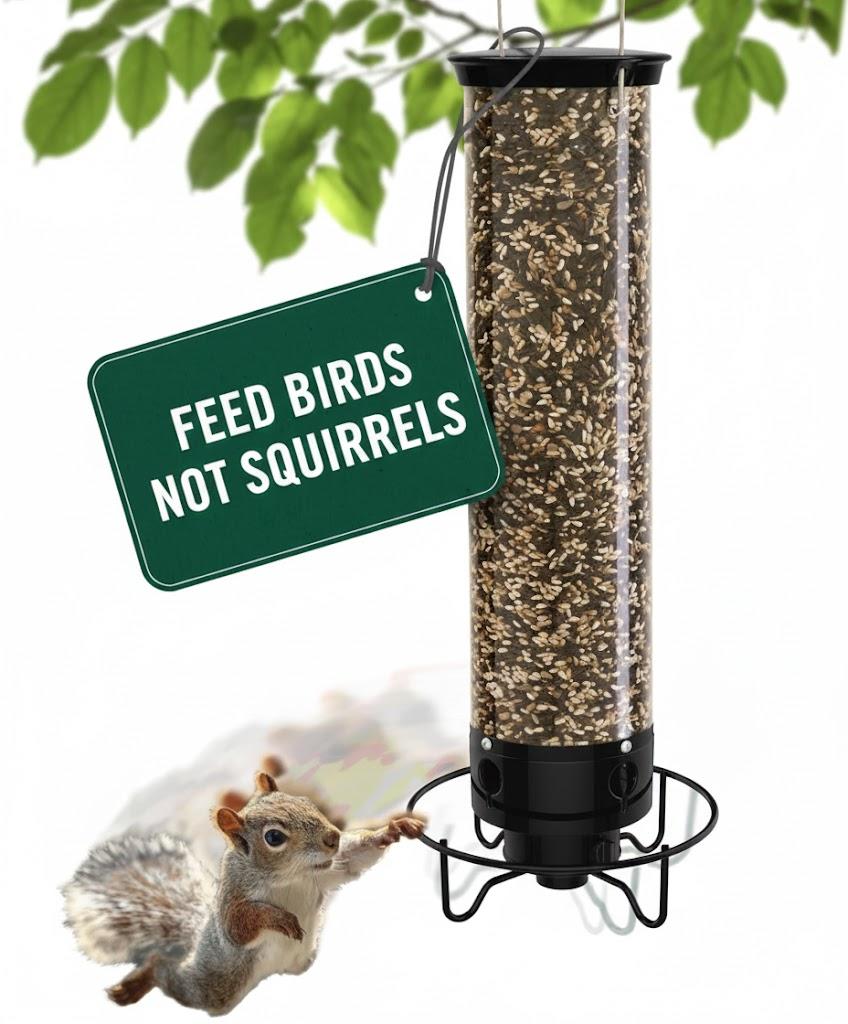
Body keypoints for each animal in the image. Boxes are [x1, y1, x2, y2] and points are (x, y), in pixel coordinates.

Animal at [63, 770, 425, 1015]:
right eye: (274, 837)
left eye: (305, 803)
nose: (333, 837)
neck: (289, 877)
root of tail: (195, 942)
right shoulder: (232, 900)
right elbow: (239, 926)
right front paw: (280, 919)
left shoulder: (327, 872)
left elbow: (354, 860)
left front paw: (394, 828)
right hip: (217, 984)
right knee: (165, 969)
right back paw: (134, 983)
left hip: (299, 962)